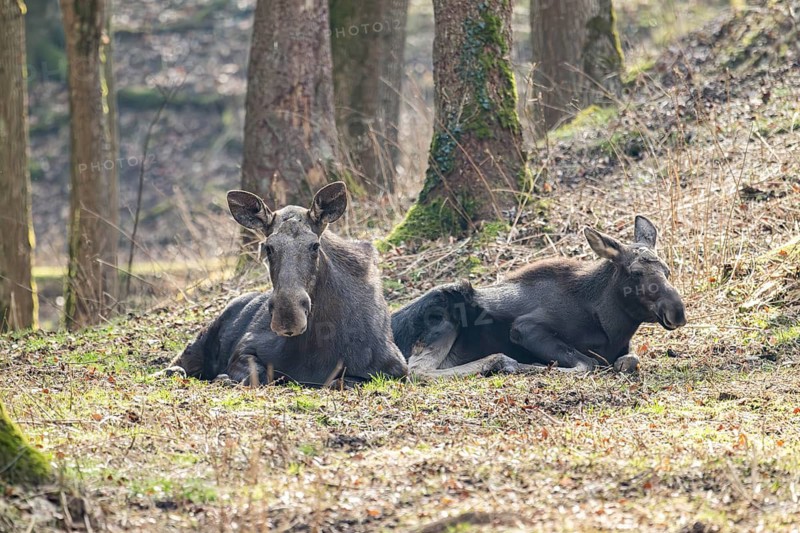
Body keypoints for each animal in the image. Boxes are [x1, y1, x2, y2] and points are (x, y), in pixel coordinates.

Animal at [159, 182, 408, 386]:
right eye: (268, 247)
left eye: (315, 245)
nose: (288, 316)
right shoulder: (246, 347)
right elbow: (261, 374)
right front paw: (226, 378)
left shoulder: (395, 369)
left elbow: (343, 381)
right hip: (200, 341)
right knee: (176, 363)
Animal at [391, 216, 687, 379]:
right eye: (636, 272)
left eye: (667, 270)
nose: (677, 311)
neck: (610, 326)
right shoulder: (525, 328)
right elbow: (586, 363)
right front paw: (532, 367)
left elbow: (630, 360)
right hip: (443, 310)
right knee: (417, 372)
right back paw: (501, 362)